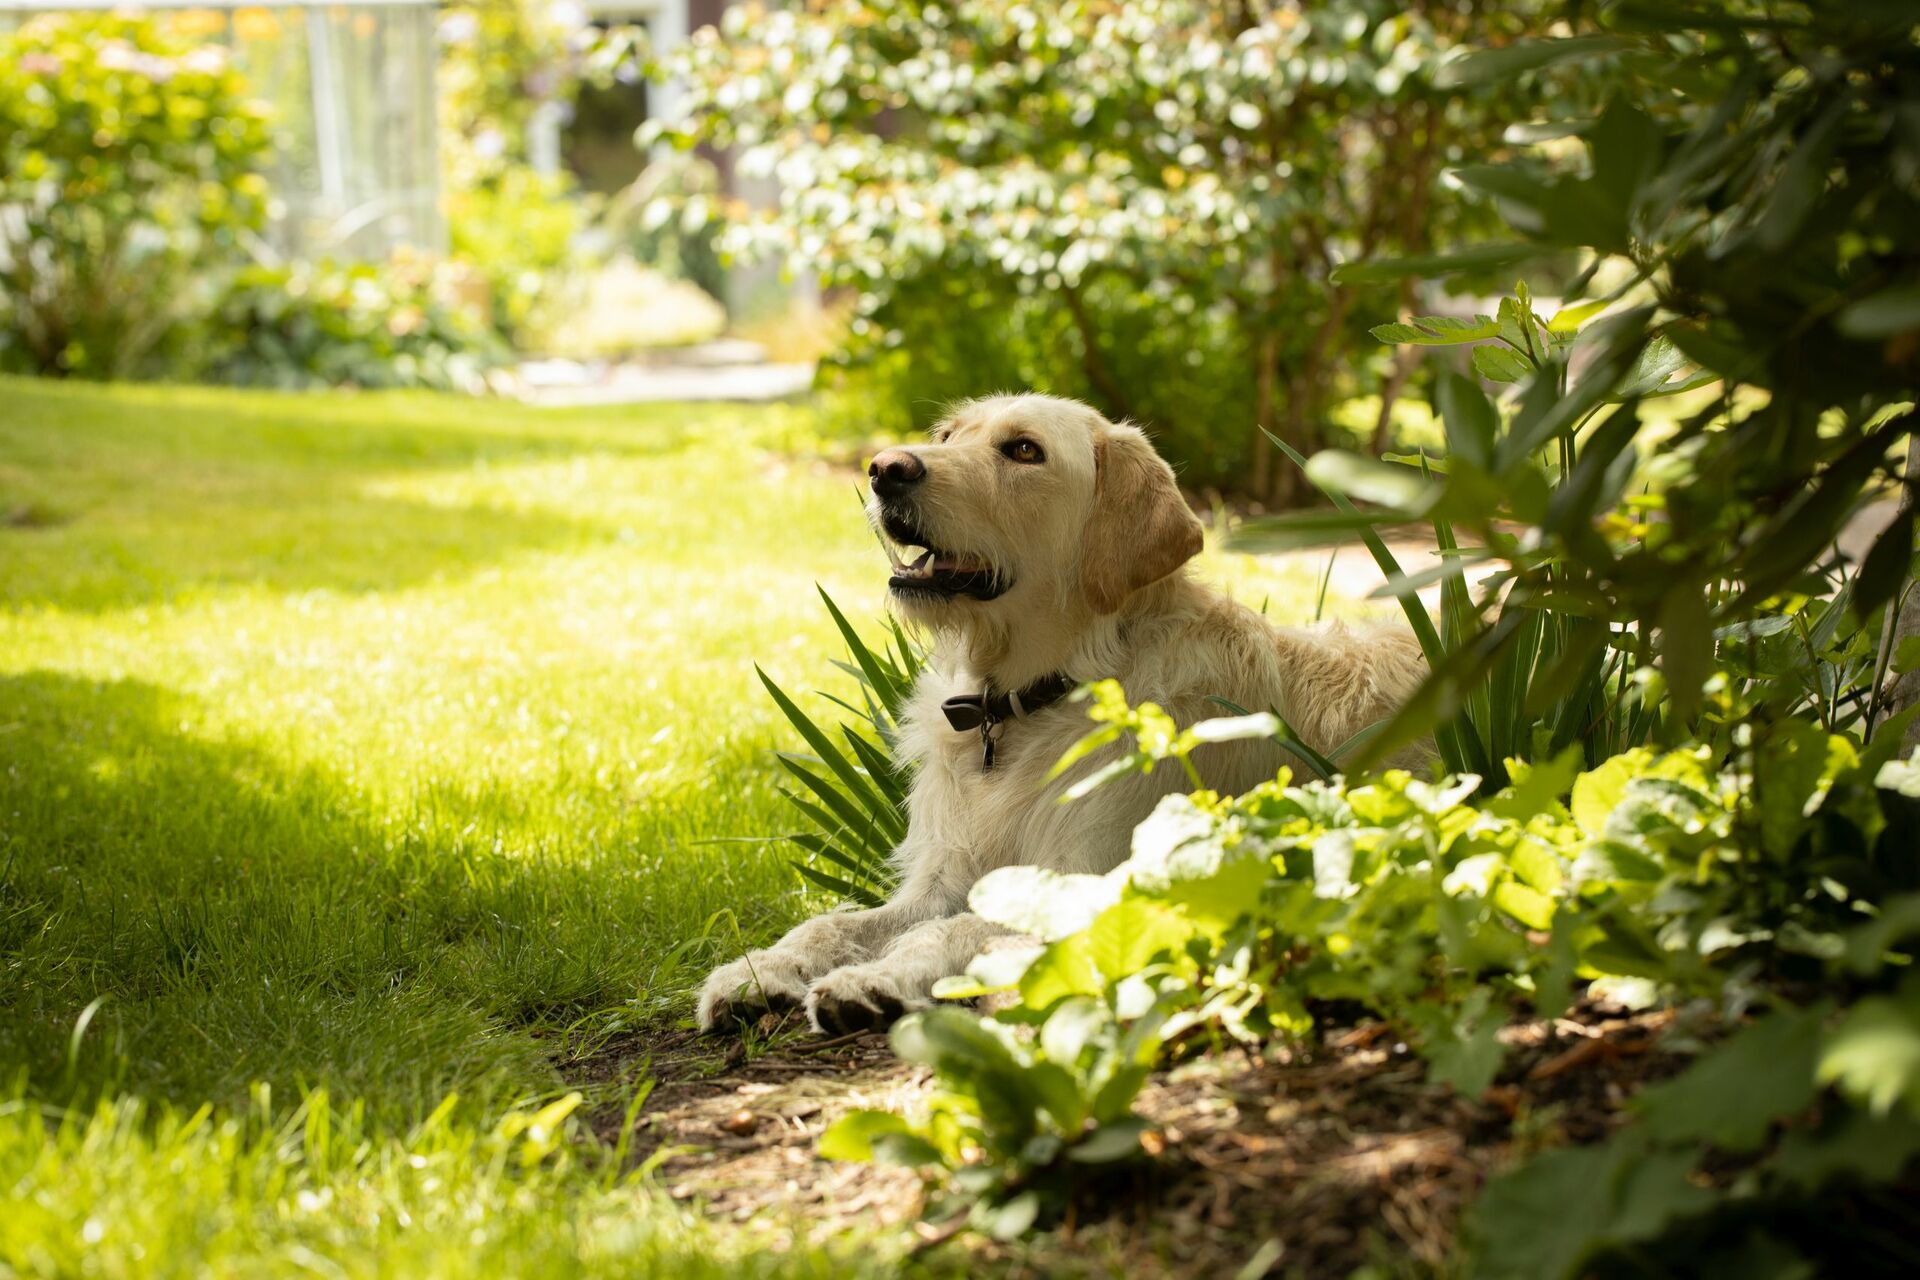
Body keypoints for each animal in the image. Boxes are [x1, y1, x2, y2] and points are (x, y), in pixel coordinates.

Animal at [698, 395, 1420, 1036]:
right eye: (949, 434)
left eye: (1024, 451)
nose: (885, 468)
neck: (1021, 705)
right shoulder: (941, 877)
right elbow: (836, 921)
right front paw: (756, 971)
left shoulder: (1090, 883)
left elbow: (949, 930)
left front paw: (870, 981)